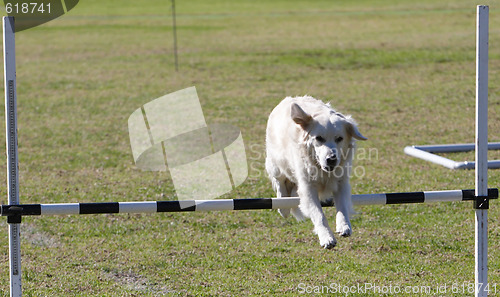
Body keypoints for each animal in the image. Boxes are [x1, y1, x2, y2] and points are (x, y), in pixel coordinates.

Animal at [266, 96, 368, 249]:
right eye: (319, 138)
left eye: (339, 138)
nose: (331, 159)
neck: (321, 169)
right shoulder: (308, 188)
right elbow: (319, 215)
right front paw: (327, 237)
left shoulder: (341, 183)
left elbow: (342, 207)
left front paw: (344, 225)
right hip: (276, 164)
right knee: (280, 182)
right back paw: (283, 206)